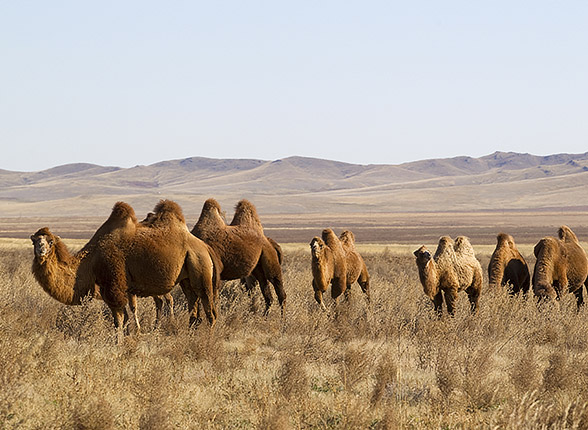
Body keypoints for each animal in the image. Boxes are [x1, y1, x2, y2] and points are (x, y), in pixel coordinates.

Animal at [30, 198, 218, 332]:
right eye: (34, 241)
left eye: (50, 241)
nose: (41, 250)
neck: (91, 260)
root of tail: (206, 248)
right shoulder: (119, 287)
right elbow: (123, 318)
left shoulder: (114, 285)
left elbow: (119, 319)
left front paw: (120, 344)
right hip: (186, 277)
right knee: (193, 308)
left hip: (200, 266)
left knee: (210, 311)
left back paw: (208, 340)